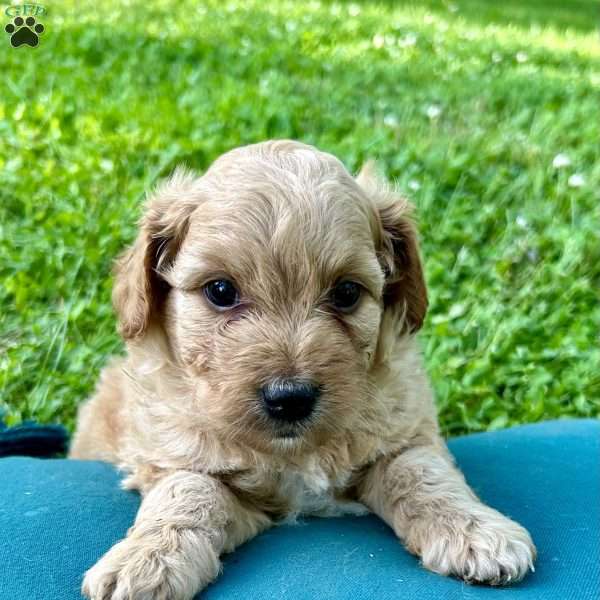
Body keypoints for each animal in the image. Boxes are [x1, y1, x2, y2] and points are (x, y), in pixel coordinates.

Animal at [70, 141, 536, 600]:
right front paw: (148, 557)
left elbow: (420, 472)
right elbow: (187, 490)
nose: (290, 398)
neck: (294, 453)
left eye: (346, 292)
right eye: (220, 290)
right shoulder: (176, 457)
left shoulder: (405, 431)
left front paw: (475, 529)